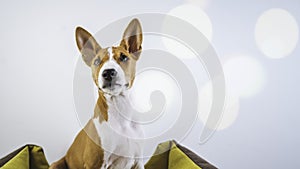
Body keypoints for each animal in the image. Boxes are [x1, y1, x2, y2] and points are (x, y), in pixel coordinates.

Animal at [49, 17, 145, 168]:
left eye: (123, 57)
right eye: (97, 61)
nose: (108, 72)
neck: (120, 109)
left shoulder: (138, 161)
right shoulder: (95, 163)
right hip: (56, 164)